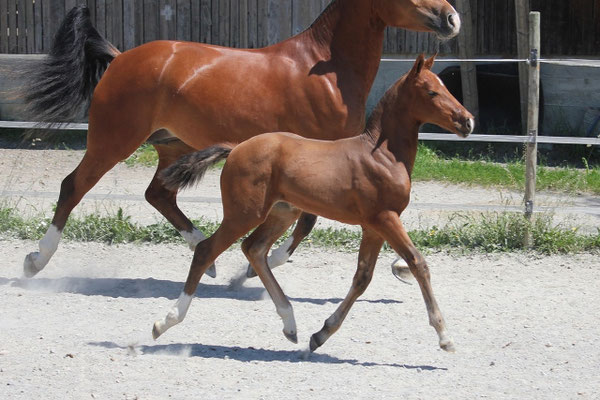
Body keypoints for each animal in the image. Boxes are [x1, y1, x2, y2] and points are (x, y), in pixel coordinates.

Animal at [19, 0, 460, 280]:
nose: (451, 17)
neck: (324, 71)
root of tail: (121, 57)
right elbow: (306, 220)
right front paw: (258, 266)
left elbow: (306, 219)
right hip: (114, 140)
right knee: (73, 186)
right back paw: (36, 260)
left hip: (173, 146)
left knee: (159, 194)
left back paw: (207, 257)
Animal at [154, 55, 474, 354]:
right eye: (432, 92)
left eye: (445, 87)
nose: (468, 121)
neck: (381, 155)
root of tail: (235, 148)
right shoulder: (385, 218)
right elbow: (418, 263)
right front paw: (445, 337)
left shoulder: (372, 227)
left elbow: (362, 277)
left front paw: (321, 334)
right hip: (243, 214)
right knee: (207, 250)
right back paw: (165, 321)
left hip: (281, 213)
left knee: (254, 249)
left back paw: (290, 324)